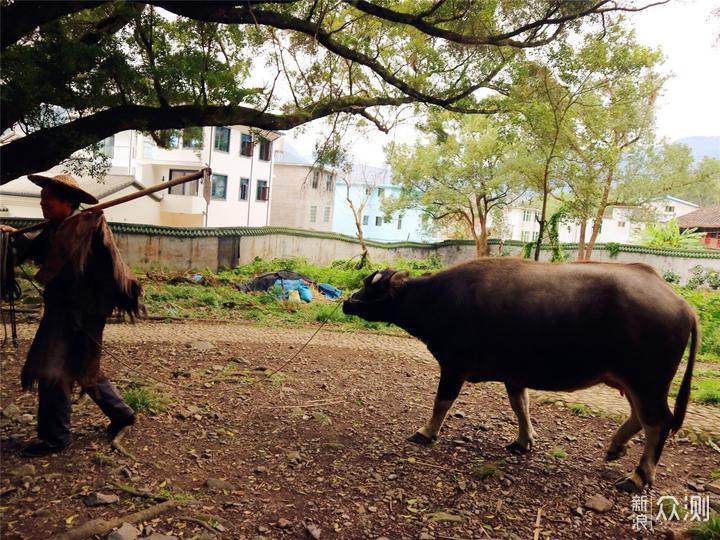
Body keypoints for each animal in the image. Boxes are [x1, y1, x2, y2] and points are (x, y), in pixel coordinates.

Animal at [344, 260, 696, 492]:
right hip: (636, 382)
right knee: (642, 417)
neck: (435, 299)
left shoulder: (454, 365)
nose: (347, 302)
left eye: (371, 285)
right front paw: (523, 441)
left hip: (647, 381)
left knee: (657, 422)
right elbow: (520, 406)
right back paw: (615, 448)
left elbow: (442, 401)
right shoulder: (513, 373)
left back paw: (638, 476)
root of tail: (682, 304)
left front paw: (426, 432)